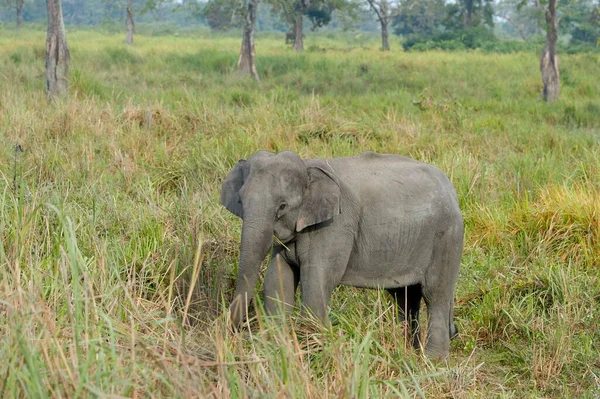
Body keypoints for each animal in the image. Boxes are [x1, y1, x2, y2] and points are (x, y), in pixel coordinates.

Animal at [220, 151, 464, 360]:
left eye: (282, 206)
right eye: (240, 201)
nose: (234, 332)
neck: (308, 166)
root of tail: (451, 189)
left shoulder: (335, 226)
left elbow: (315, 287)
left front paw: (315, 354)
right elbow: (278, 282)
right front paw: (276, 351)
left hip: (446, 237)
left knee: (435, 294)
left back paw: (432, 361)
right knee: (405, 297)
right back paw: (408, 352)